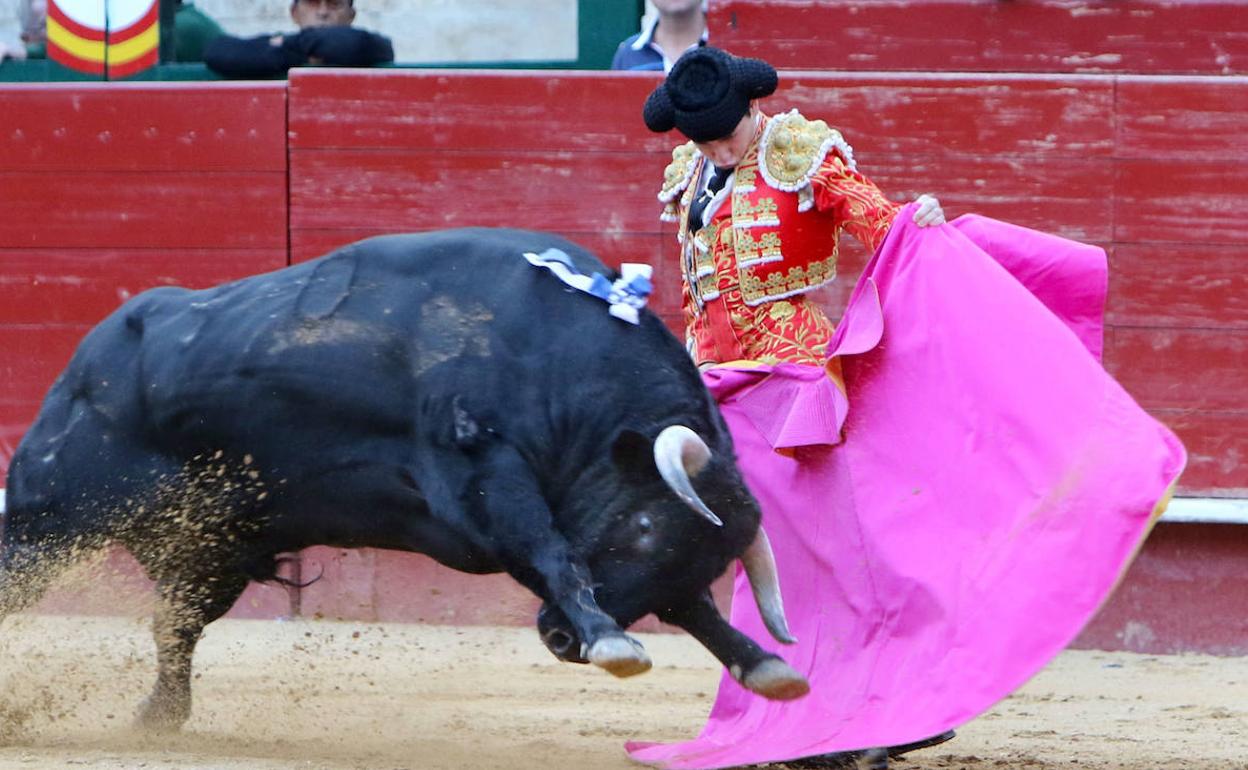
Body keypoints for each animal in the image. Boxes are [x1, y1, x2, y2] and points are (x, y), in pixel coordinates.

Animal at [2, 227, 808, 728]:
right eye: (642, 525)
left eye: (696, 562)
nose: (557, 637)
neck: (553, 357)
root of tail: (86, 361)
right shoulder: (483, 476)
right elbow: (553, 549)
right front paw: (612, 640)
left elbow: (688, 610)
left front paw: (764, 666)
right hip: (50, 515)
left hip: (209, 549)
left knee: (174, 626)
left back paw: (160, 717)